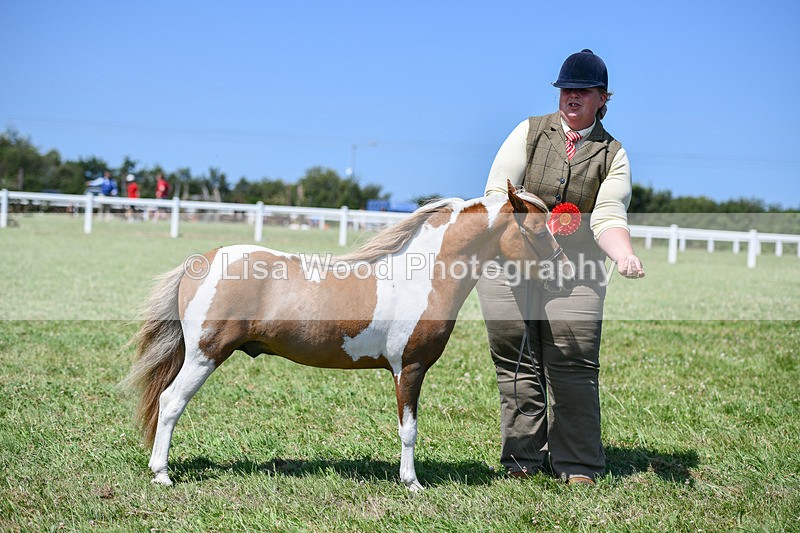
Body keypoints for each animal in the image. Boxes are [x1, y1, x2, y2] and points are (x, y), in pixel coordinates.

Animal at [122, 182, 572, 491]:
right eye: (537, 231)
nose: (566, 276)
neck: (424, 275)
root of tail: (203, 261)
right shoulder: (408, 369)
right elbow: (408, 429)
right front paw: (412, 483)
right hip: (204, 356)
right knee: (170, 402)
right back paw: (162, 474)